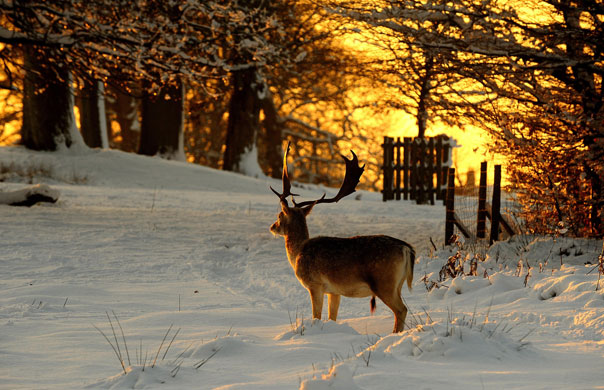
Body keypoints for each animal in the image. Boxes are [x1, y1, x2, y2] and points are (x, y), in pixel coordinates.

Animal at [270, 143, 416, 332]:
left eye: (280, 215)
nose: (272, 227)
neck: (298, 253)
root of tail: (406, 248)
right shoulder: (334, 291)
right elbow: (332, 316)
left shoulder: (315, 284)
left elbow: (316, 316)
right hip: (398, 284)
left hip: (384, 283)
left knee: (401, 310)